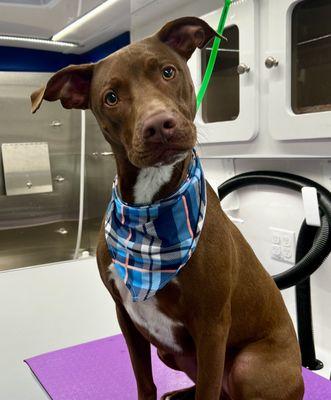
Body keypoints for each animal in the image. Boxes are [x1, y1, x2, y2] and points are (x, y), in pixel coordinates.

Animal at [31, 17, 306, 400]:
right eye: (111, 97)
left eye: (168, 71)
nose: (159, 125)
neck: (152, 205)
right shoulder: (125, 314)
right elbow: (144, 380)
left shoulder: (212, 325)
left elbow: (207, 390)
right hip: (169, 352)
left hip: (249, 366)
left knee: (223, 385)